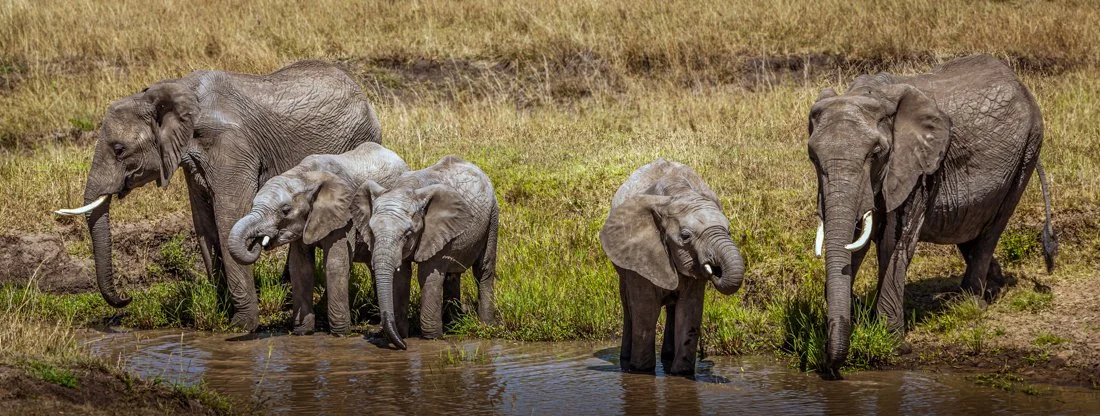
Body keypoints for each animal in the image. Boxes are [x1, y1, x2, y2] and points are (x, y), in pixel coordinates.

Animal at [55, 60, 382, 331]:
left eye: (119, 150)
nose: (126, 299)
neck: (174, 91)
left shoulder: (232, 148)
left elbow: (228, 219)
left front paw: (241, 325)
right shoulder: (191, 161)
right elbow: (205, 225)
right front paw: (222, 314)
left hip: (358, 139)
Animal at [227, 142, 409, 335]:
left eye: (285, 211)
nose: (256, 241)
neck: (304, 176)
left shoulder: (345, 216)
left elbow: (336, 263)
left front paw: (340, 333)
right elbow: (300, 267)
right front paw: (302, 332)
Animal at [356, 155, 499, 349]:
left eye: (407, 234)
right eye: (371, 232)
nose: (404, 346)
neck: (406, 189)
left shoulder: (435, 230)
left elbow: (427, 275)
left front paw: (432, 338)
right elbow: (402, 277)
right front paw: (402, 334)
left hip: (493, 217)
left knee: (483, 270)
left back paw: (486, 325)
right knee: (452, 275)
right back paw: (453, 325)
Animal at [599, 159, 746, 376]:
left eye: (729, 231)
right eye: (685, 236)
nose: (716, 269)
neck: (677, 195)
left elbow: (690, 310)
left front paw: (681, 374)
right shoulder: (639, 253)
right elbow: (646, 310)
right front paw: (642, 371)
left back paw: (667, 357)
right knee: (628, 305)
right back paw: (626, 359)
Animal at [806, 54, 1057, 372]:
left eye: (875, 154)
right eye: (813, 157)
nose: (828, 365)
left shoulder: (916, 168)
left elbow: (894, 244)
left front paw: (895, 346)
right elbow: (855, 240)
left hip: (1029, 149)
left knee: (992, 229)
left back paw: (969, 303)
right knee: (970, 230)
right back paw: (994, 284)